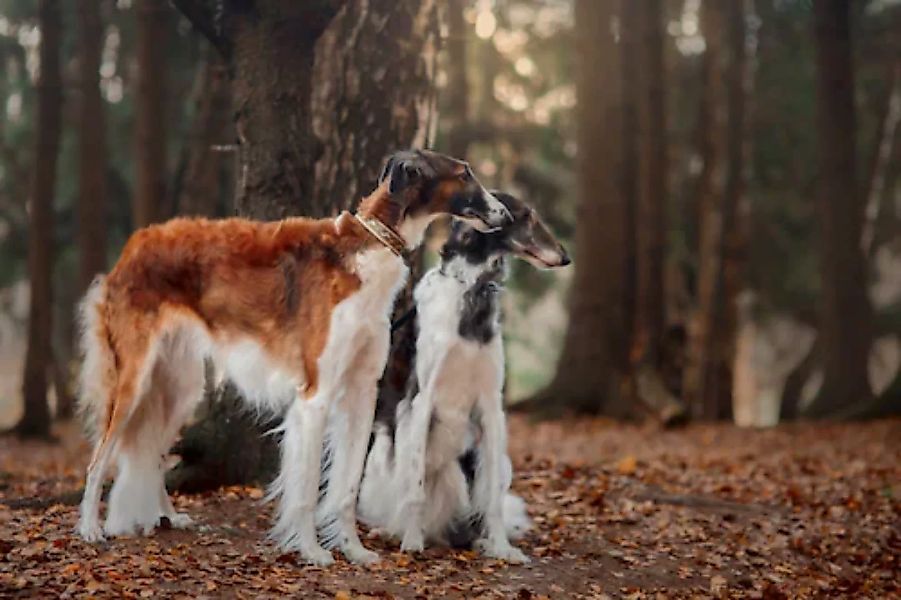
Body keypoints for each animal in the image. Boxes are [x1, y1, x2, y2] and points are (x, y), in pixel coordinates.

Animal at [74, 148, 510, 564]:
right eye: (465, 173)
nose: (504, 215)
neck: (369, 246)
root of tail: (131, 248)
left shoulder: (362, 392)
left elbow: (347, 489)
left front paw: (353, 550)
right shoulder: (316, 395)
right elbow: (307, 489)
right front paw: (311, 551)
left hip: (180, 386)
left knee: (151, 452)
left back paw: (167, 515)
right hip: (134, 379)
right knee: (98, 459)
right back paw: (89, 528)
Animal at [358, 192, 568, 564]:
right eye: (527, 216)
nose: (565, 256)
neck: (472, 289)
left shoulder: (492, 406)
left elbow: (493, 503)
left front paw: (502, 547)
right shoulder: (421, 401)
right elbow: (414, 491)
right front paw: (411, 541)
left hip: (491, 463)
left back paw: (476, 539)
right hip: (381, 453)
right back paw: (398, 530)